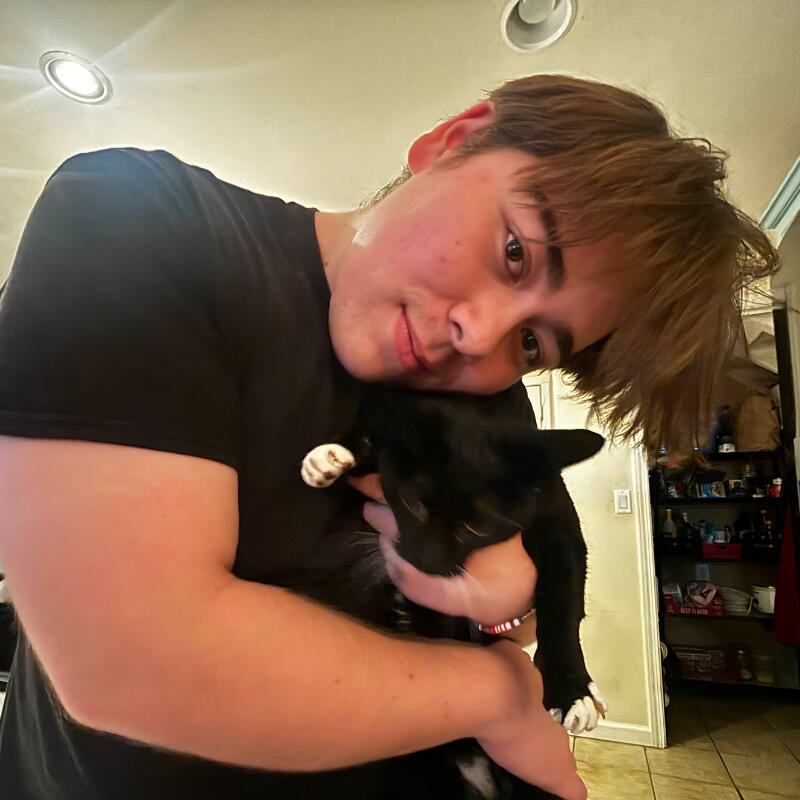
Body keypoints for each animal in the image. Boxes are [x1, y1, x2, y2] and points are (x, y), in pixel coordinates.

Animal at [301, 382, 606, 799]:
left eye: (478, 527)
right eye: (411, 502)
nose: (425, 562)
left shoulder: (555, 515)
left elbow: (564, 597)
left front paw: (571, 690)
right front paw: (334, 455)